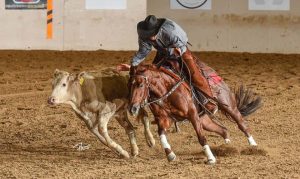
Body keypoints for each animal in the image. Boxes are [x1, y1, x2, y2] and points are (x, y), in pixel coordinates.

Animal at [127, 63, 262, 164]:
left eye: (140, 84)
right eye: (129, 85)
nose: (132, 108)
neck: (166, 91)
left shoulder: (192, 115)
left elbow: (201, 137)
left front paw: (211, 159)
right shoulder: (164, 119)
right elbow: (161, 134)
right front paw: (170, 155)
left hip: (228, 106)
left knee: (242, 124)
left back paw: (253, 146)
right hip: (204, 120)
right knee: (223, 130)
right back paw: (227, 147)